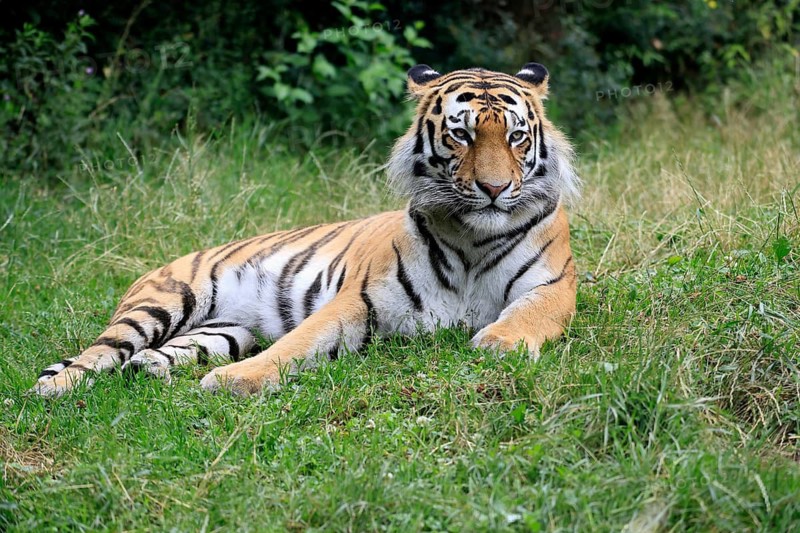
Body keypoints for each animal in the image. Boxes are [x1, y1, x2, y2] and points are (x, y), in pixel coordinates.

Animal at [32, 62, 580, 398]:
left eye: (515, 136)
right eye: (462, 134)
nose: (493, 188)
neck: (473, 236)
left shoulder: (553, 287)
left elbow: (527, 317)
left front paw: (497, 343)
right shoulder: (362, 299)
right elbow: (298, 343)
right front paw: (232, 383)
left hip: (223, 331)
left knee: (156, 353)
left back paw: (148, 367)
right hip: (160, 302)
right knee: (100, 352)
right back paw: (54, 389)